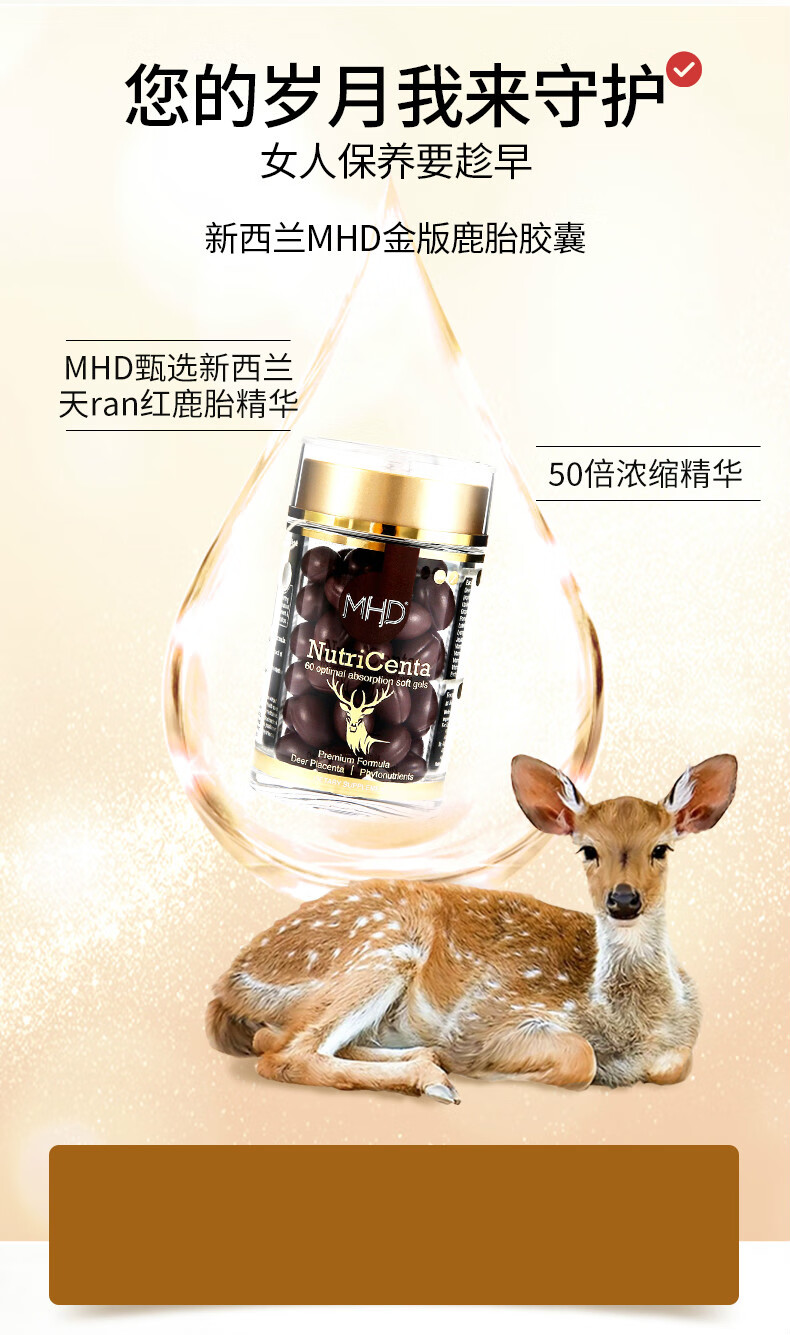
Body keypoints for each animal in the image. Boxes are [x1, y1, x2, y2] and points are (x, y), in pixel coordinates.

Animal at [206, 753, 737, 1102]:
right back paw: (435, 1080)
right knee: (284, 1054)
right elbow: (579, 1060)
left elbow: (674, 1065)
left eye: (662, 848)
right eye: (588, 849)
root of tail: (227, 985)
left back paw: (427, 1062)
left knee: (278, 1041)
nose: (623, 899)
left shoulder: (679, 1046)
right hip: (378, 949)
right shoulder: (487, 1014)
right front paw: (494, 1072)